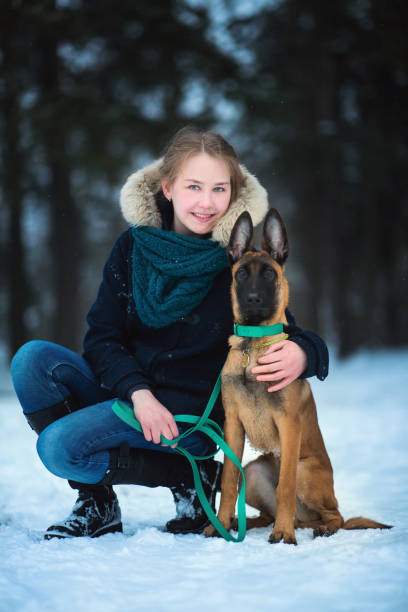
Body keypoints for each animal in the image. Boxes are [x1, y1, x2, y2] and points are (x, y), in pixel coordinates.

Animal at [206, 208, 390, 544]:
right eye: (241, 274)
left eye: (269, 274)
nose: (252, 298)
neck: (253, 344)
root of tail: (307, 519)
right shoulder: (233, 426)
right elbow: (227, 481)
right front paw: (219, 526)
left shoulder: (289, 425)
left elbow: (285, 486)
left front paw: (283, 535)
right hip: (254, 472)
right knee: (264, 505)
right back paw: (247, 523)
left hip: (307, 473)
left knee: (335, 515)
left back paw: (315, 528)